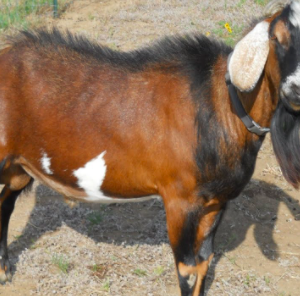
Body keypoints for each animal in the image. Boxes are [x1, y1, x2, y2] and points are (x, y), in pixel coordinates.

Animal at [0, 0, 298, 296]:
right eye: (276, 38)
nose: (295, 90)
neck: (220, 105)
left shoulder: (216, 202)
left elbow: (204, 261)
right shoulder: (179, 200)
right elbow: (187, 270)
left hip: (20, 167)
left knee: (4, 203)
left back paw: (4, 271)